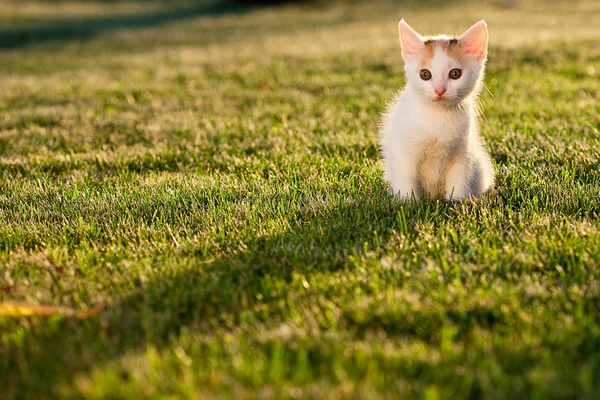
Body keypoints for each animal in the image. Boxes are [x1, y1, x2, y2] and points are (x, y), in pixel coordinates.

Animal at [382, 19, 494, 202]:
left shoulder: (462, 153)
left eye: (455, 73)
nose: (439, 90)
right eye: (425, 74)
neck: (438, 116)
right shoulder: (404, 155)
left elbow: (459, 180)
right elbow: (406, 179)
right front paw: (408, 202)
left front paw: (456, 203)